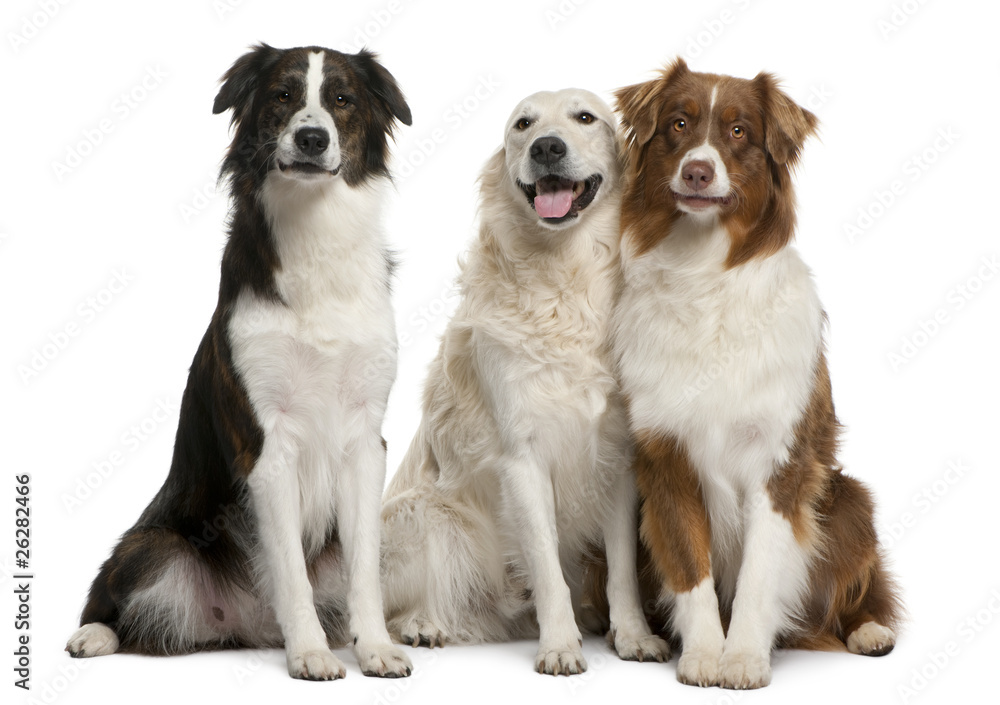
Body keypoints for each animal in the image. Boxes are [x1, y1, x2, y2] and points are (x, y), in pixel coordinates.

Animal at [64, 42, 414, 676]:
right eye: (282, 95)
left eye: (342, 99)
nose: (311, 138)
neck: (315, 232)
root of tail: (249, 627)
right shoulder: (265, 440)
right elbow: (292, 574)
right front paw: (311, 655)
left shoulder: (364, 439)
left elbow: (365, 573)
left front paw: (375, 648)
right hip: (153, 542)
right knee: (114, 598)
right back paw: (93, 636)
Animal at [378, 89, 668, 676]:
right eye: (523, 124)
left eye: (585, 118)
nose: (547, 147)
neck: (564, 276)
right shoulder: (522, 457)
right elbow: (547, 567)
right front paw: (559, 646)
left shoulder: (618, 457)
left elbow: (623, 568)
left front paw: (633, 636)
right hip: (425, 516)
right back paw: (422, 625)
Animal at [604, 60, 904, 688]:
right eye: (679, 123)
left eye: (739, 131)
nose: (697, 170)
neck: (703, 275)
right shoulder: (664, 458)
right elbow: (689, 566)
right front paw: (702, 654)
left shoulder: (780, 463)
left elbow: (760, 574)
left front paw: (741, 657)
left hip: (848, 498)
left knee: (861, 588)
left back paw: (868, 630)